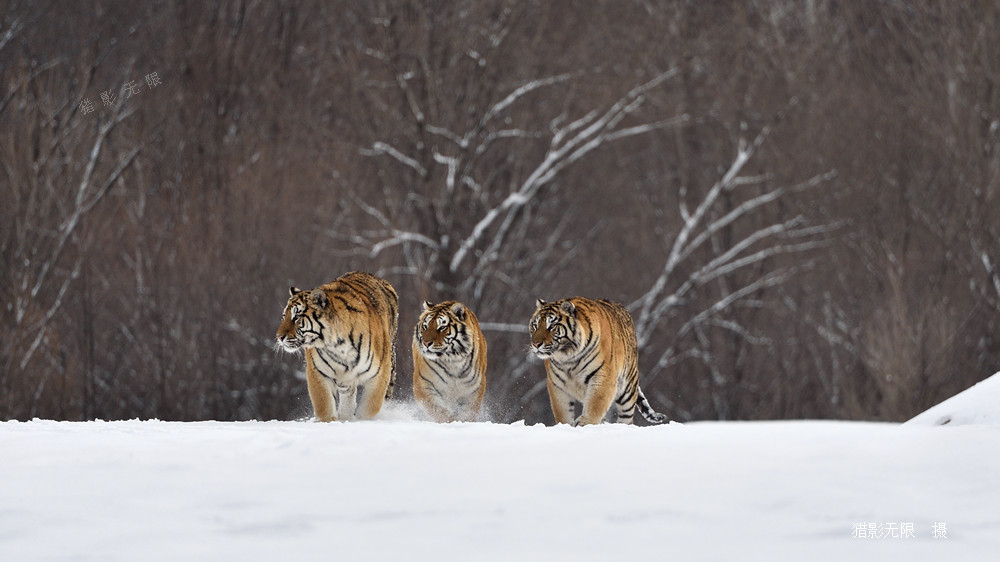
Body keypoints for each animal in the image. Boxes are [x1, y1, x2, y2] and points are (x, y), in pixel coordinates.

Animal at [276, 270, 400, 420]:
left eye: (296, 317)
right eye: (284, 317)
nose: (279, 337)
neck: (337, 345)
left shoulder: (379, 373)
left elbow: (370, 408)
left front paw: (362, 421)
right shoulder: (318, 372)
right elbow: (324, 406)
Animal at [528, 298, 668, 424]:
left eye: (551, 326)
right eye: (535, 325)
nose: (535, 344)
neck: (568, 358)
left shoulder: (603, 379)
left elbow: (594, 408)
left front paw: (584, 425)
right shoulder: (557, 385)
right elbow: (563, 414)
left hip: (627, 389)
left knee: (626, 418)